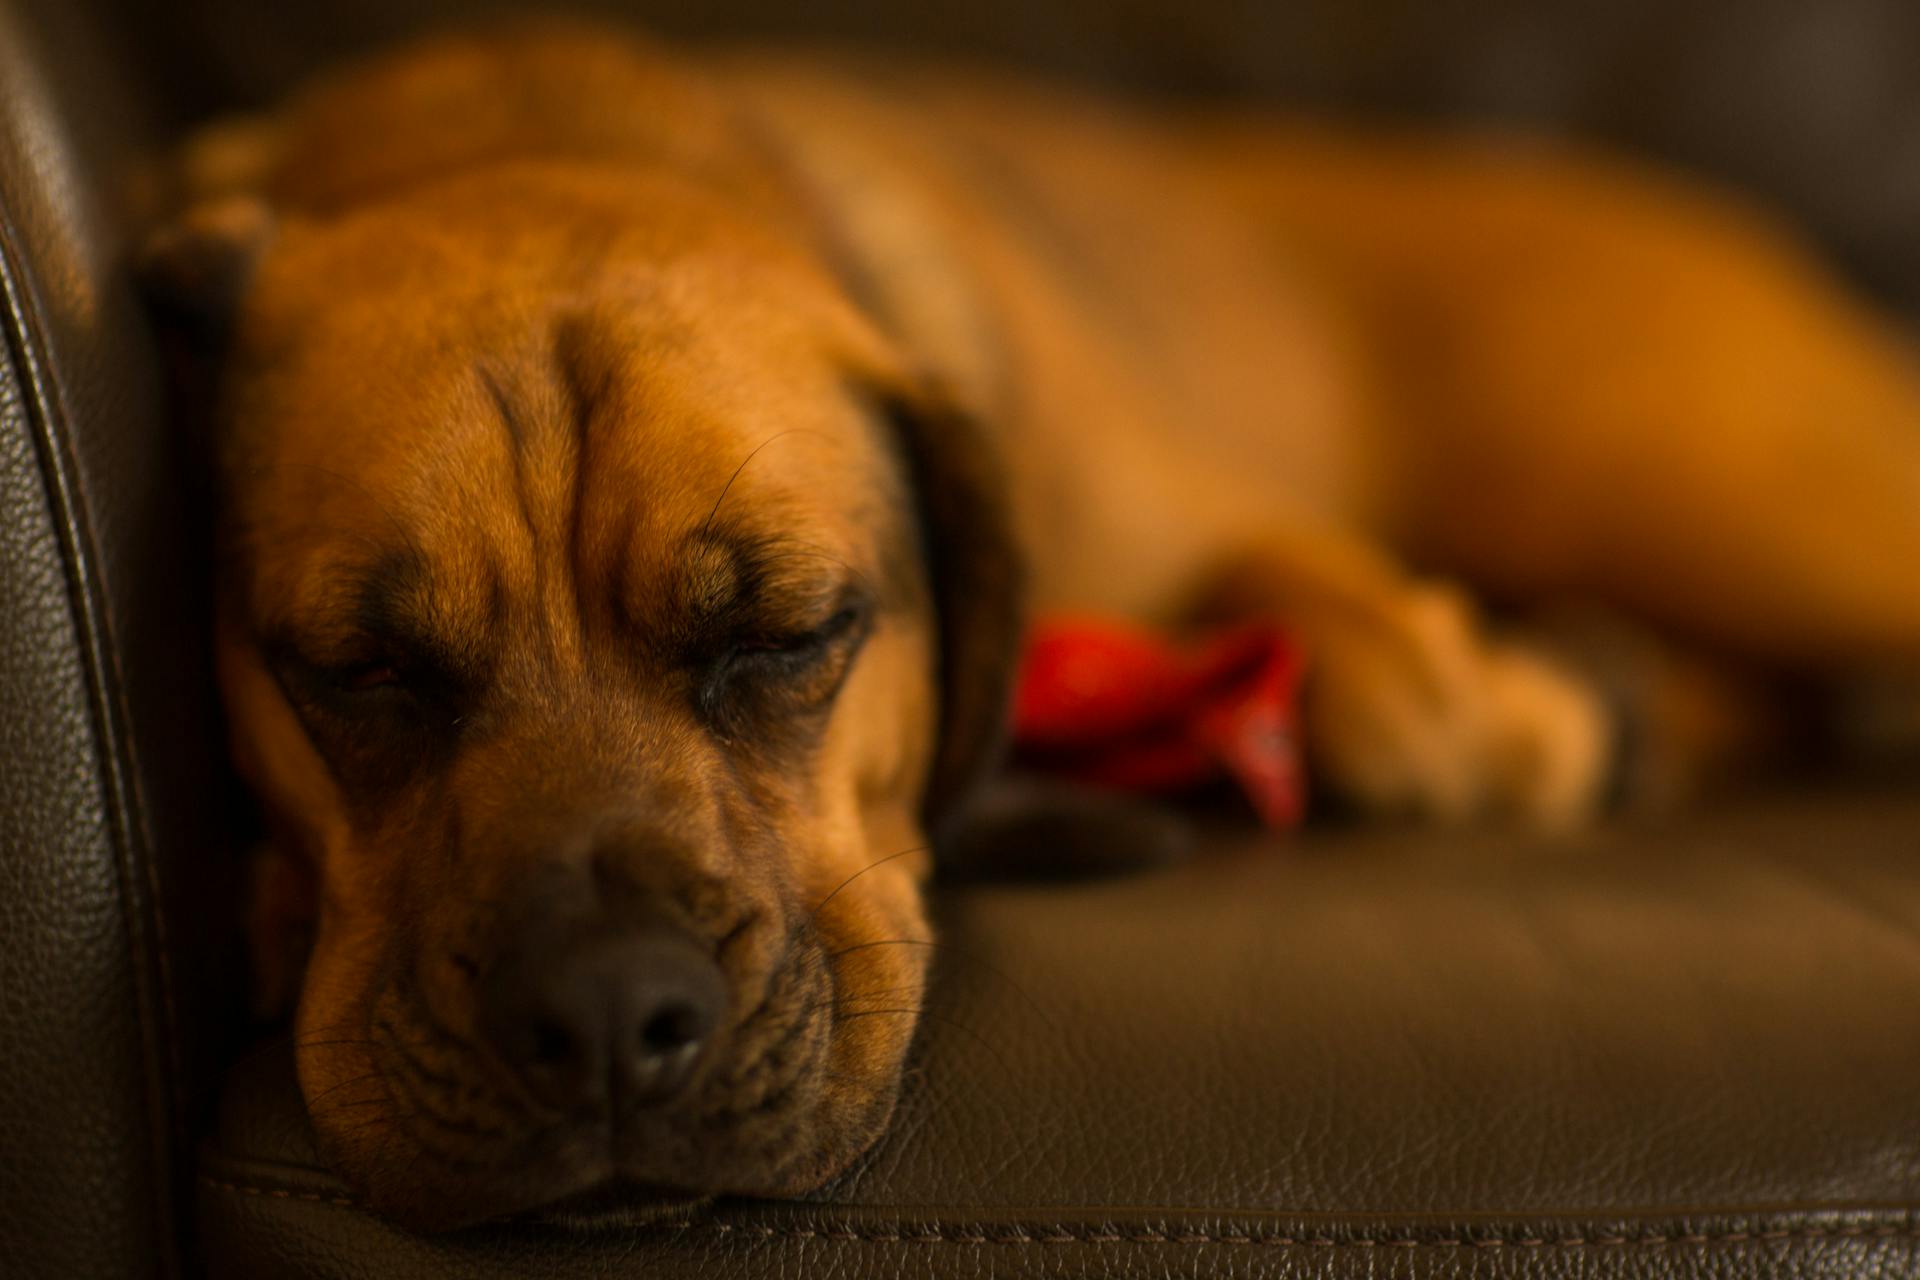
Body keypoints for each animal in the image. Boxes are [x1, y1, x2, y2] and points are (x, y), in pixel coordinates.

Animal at [142, 22, 1920, 1228]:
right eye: (356, 670)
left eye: (791, 633)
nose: (602, 1022)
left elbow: (1395, 686)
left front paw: (1517, 712)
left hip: (1711, 488)